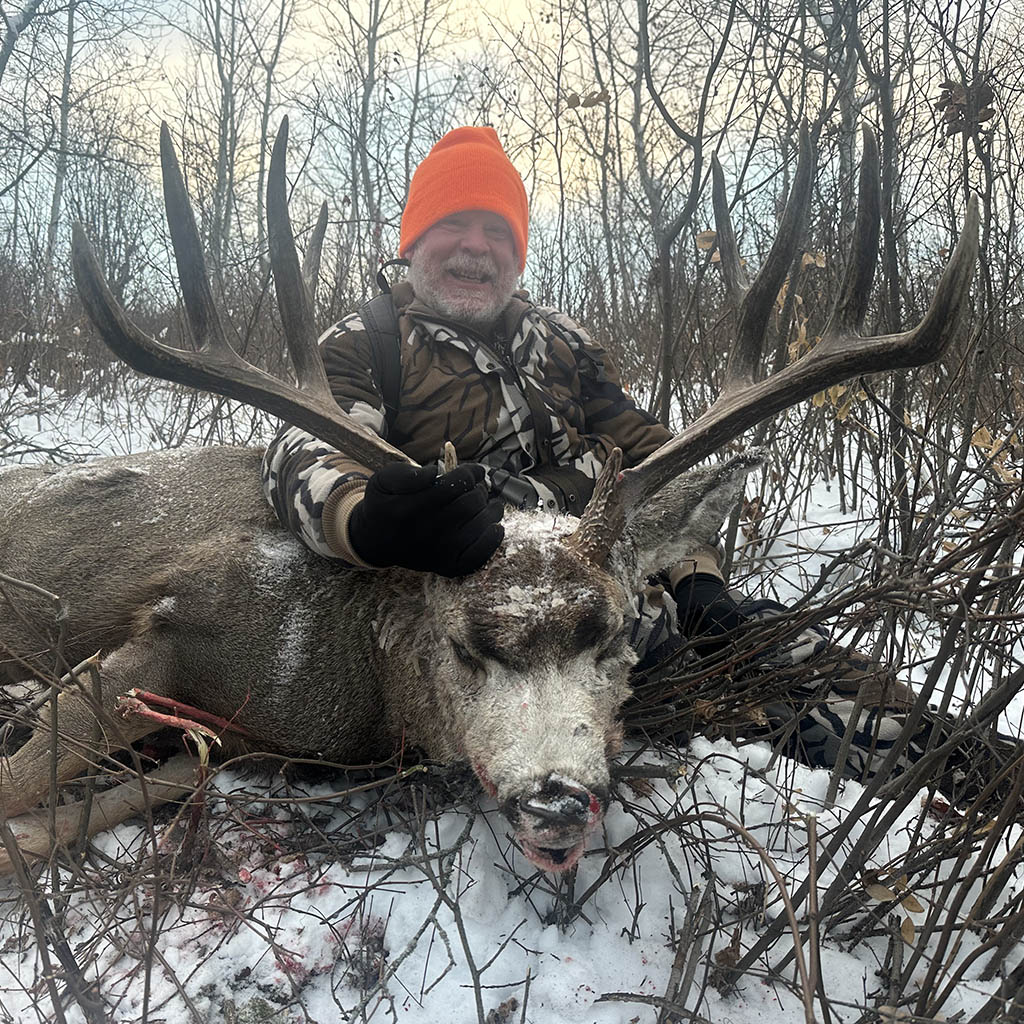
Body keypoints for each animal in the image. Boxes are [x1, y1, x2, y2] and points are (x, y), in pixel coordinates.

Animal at [0, 117, 978, 872]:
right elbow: (19, 798)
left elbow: (69, 815)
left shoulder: (239, 739)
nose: (555, 805)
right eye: (464, 648)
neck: (357, 678)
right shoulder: (174, 617)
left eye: (617, 636)